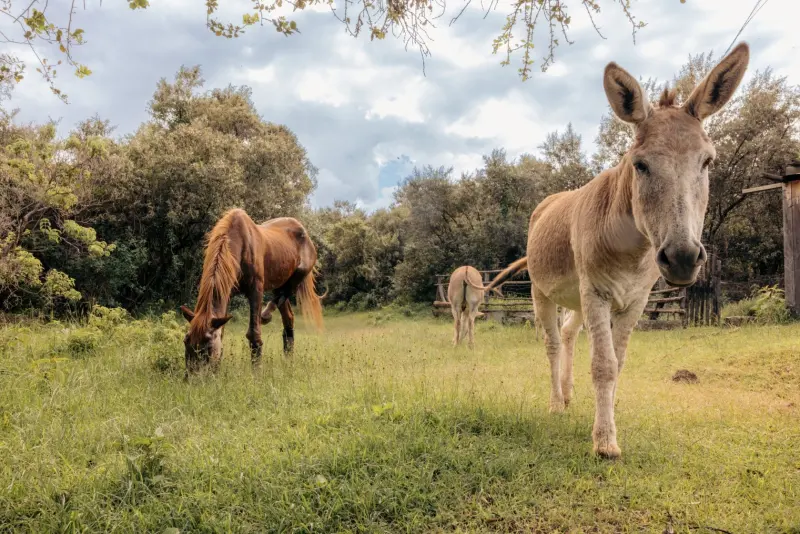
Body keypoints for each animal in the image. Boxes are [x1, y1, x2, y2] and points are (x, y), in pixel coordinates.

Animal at [179, 208, 324, 374]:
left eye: (208, 347)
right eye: (186, 341)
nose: (192, 377)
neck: (239, 245)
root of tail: (303, 231)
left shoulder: (256, 291)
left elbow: (254, 335)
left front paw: (256, 373)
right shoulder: (227, 293)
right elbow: (222, 332)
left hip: (299, 275)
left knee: (282, 295)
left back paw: (266, 315)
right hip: (279, 281)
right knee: (288, 316)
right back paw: (288, 360)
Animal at [486, 43, 750, 458]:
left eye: (708, 162)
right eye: (640, 165)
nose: (682, 258)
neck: (632, 250)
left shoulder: (634, 300)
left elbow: (618, 361)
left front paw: (605, 419)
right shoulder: (597, 293)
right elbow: (603, 364)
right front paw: (605, 442)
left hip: (575, 298)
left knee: (568, 334)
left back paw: (568, 395)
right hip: (543, 291)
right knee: (551, 343)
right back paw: (555, 402)